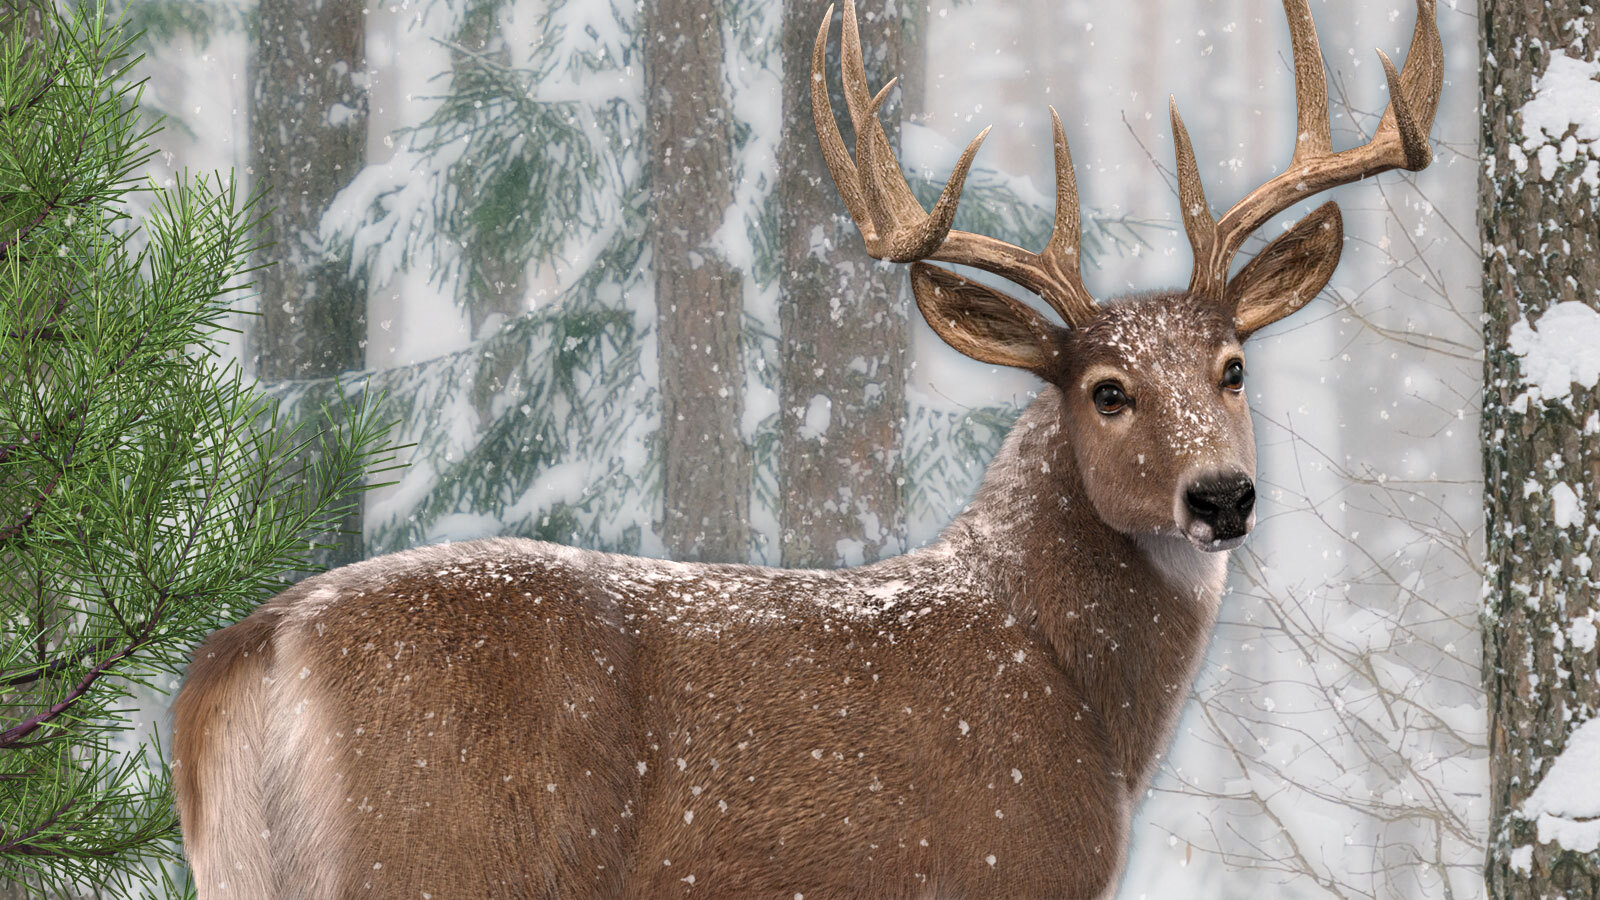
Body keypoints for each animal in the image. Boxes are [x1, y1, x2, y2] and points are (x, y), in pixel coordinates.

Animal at [171, 0, 1441, 896]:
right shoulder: (996, 862)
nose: (1221, 496)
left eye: (1234, 368)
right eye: (1107, 391)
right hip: (433, 855)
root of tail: (256, 647)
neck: (1076, 696)